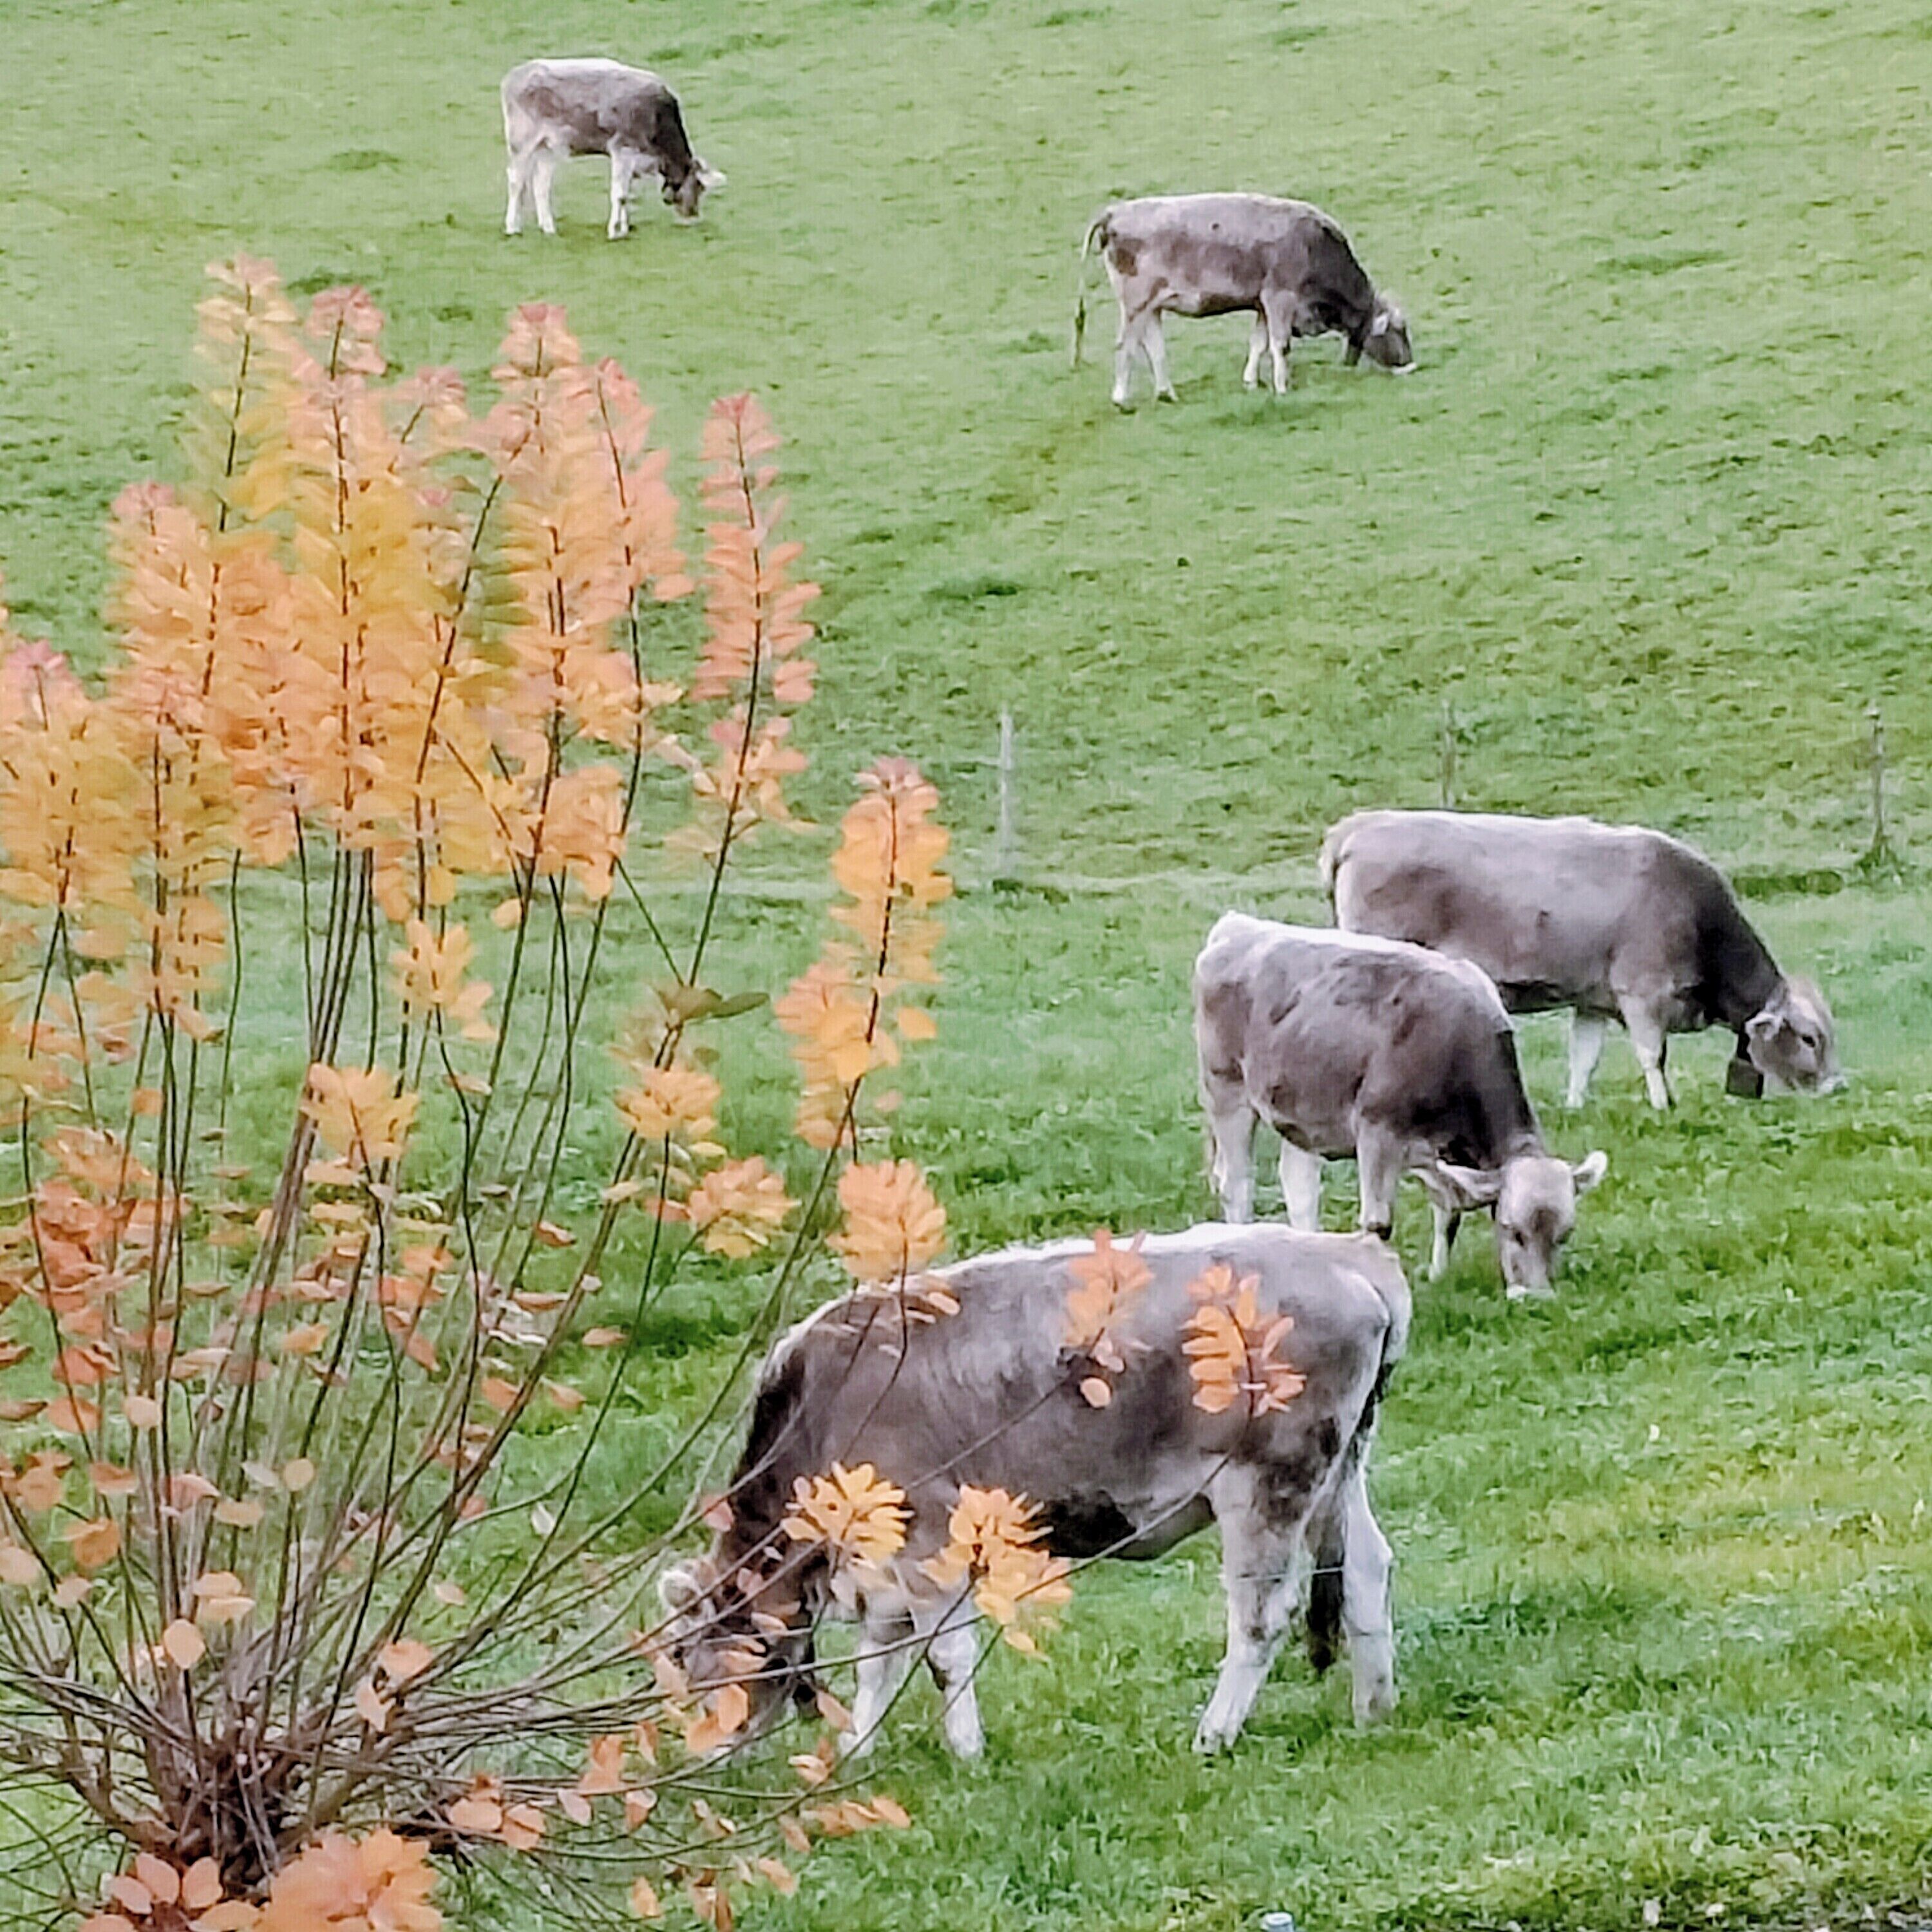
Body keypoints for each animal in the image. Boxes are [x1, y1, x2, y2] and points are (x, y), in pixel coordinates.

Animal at [501, 58, 723, 239]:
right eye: (700, 187)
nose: (694, 216)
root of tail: (516, 74)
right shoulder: (622, 149)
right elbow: (620, 194)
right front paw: (614, 233)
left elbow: (626, 193)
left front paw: (624, 229)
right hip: (522, 141)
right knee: (516, 181)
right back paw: (512, 228)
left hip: (547, 147)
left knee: (541, 185)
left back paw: (548, 228)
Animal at [659, 1223, 1410, 1758]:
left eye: (699, 1666)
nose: (703, 1757)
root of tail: (1350, 1254)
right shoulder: (885, 1568)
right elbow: (880, 1657)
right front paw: (854, 1750)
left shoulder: (928, 1537)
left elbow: (943, 1654)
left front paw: (966, 1751)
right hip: (1339, 1471)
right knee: (1367, 1570)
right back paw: (1373, 1711)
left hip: (1269, 1484)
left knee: (1262, 1614)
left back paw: (1215, 1733)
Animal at [1073, 194, 1413, 406]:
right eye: (1398, 331)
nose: (1411, 366)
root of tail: (1114, 213)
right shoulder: (1280, 298)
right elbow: (1280, 345)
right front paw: (1282, 388)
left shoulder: (1263, 304)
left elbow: (1259, 343)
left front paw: (1252, 382)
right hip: (1136, 303)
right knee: (1126, 345)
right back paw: (1121, 399)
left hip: (1152, 307)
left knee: (1154, 347)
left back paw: (1167, 393)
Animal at [1194, 914, 1607, 1297]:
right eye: (1512, 1230)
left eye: (1564, 1235)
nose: (1538, 1299)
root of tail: (1238, 925)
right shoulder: (1379, 1132)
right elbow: (1378, 1224)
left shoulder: (1436, 1152)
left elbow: (1447, 1211)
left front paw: (1438, 1275)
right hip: (1226, 1088)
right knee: (1236, 1184)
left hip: (1299, 1109)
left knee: (1299, 1187)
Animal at [1322, 809, 1844, 1110]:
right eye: (1809, 1038)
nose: (1838, 1087)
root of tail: (1358, 827)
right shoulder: (1643, 991)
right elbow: (1652, 1054)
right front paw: (1663, 1106)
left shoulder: (1594, 1000)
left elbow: (1584, 1058)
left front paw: (1576, 1106)